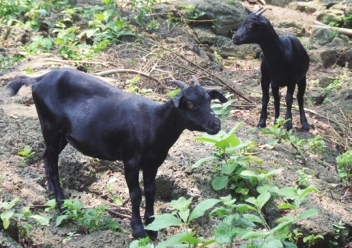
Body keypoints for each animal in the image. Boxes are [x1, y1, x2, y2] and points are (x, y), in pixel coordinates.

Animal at [7, 68, 228, 238]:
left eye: (209, 100)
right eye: (189, 104)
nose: (215, 124)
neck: (154, 124)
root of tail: (38, 79)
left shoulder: (153, 163)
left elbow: (151, 191)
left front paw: (152, 227)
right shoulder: (130, 160)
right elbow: (136, 194)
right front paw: (138, 230)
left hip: (61, 135)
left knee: (46, 154)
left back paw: (51, 190)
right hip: (50, 126)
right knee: (52, 161)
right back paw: (61, 203)